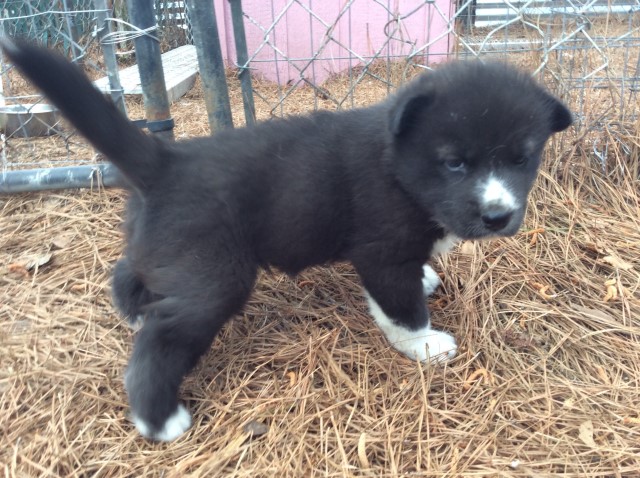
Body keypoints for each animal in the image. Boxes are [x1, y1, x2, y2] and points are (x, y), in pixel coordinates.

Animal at [2, 39, 572, 442]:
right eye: (454, 163)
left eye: (522, 159)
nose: (497, 215)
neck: (398, 164)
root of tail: (165, 160)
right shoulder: (381, 253)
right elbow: (401, 307)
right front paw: (424, 344)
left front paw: (428, 276)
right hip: (215, 278)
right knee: (161, 341)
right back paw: (159, 419)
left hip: (165, 250)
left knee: (129, 271)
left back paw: (133, 311)